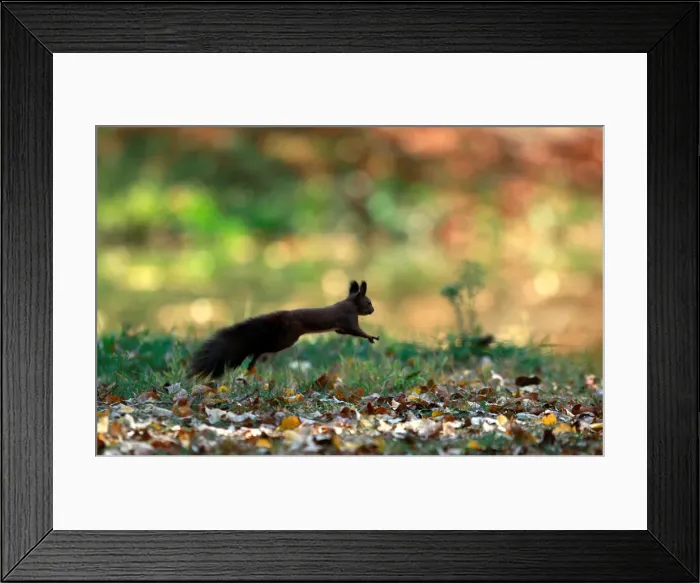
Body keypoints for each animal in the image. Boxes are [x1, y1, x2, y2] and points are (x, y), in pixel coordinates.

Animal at [189, 280, 379, 379]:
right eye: (369, 302)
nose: (373, 310)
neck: (350, 303)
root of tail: (282, 316)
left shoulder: (341, 327)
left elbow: (345, 332)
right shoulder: (349, 318)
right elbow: (357, 331)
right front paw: (371, 337)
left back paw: (251, 364)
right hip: (285, 339)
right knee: (261, 347)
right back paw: (253, 361)